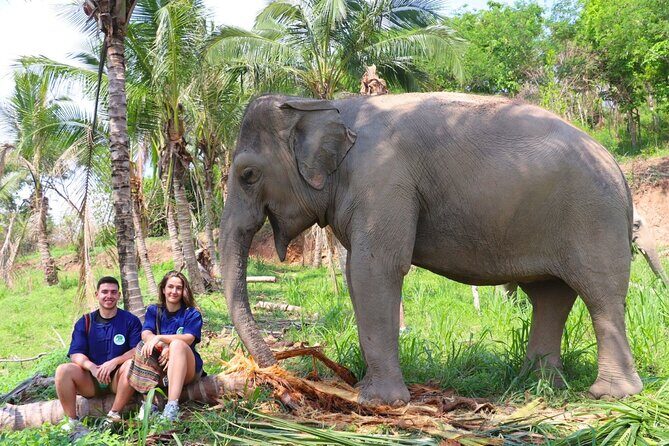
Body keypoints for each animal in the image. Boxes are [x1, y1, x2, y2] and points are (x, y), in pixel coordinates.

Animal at [219, 92, 643, 406]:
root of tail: (619, 170)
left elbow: (375, 269)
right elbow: (357, 275)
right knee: (550, 295)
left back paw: (610, 394)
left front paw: (379, 401)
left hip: (594, 218)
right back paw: (536, 386)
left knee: (600, 294)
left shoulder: (383, 180)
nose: (274, 370)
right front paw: (365, 390)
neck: (323, 104)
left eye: (248, 174)